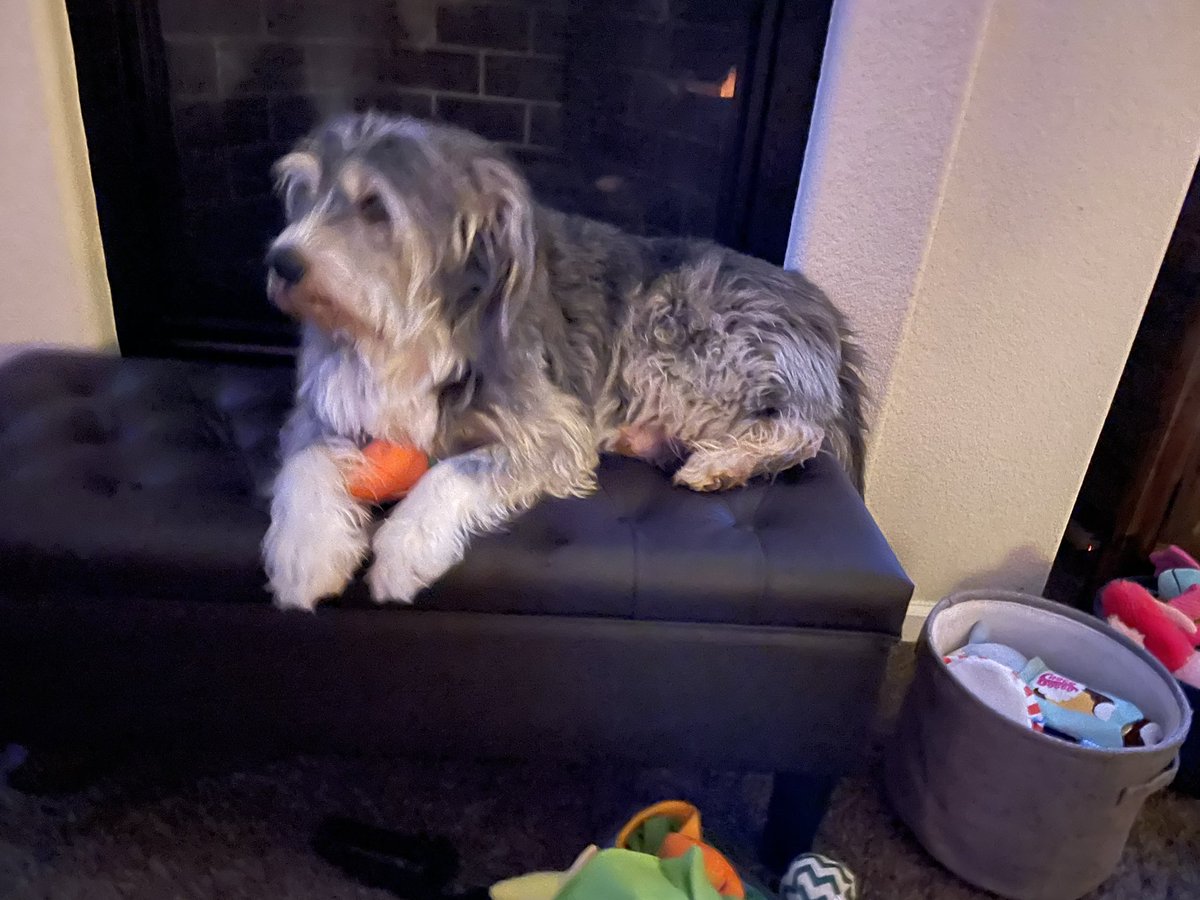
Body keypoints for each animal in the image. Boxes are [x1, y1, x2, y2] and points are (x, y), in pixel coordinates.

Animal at [262, 109, 864, 609]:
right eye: (305, 194)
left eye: (374, 208)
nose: (280, 262)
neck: (403, 332)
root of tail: (826, 315)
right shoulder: (327, 403)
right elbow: (305, 461)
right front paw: (304, 554)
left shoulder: (552, 428)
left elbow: (456, 470)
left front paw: (405, 548)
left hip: (679, 342)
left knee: (801, 428)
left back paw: (719, 464)